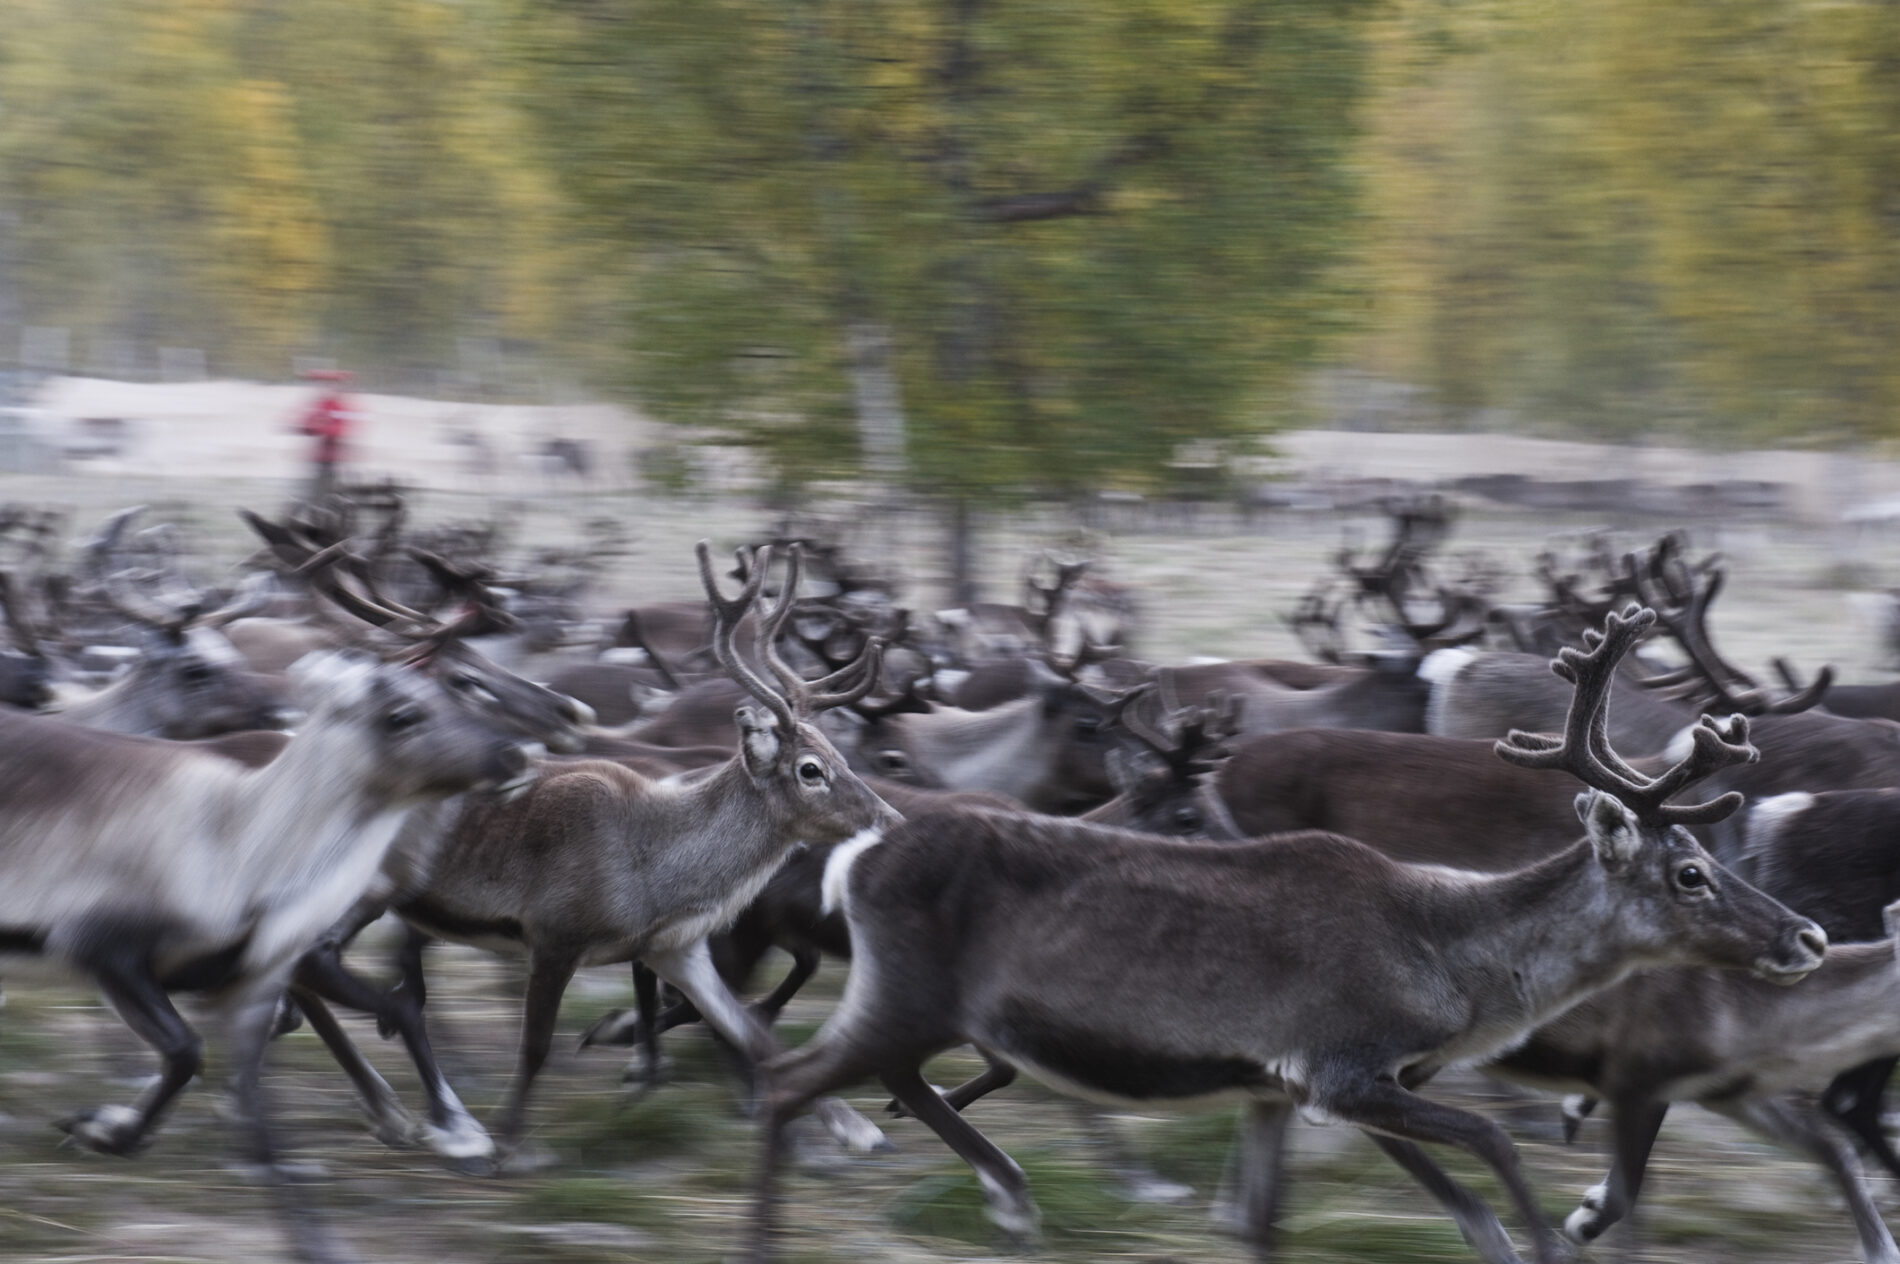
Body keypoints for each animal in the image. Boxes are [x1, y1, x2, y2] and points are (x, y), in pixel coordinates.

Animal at [0, 652, 530, 1264]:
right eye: (402, 714)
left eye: (456, 692)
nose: (518, 755)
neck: (242, 843)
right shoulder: (103, 950)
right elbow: (186, 1053)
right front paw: (104, 1130)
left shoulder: (252, 986)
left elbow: (260, 1112)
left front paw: (317, 1239)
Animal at [746, 605, 1826, 1264]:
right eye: (1689, 873)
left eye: (1711, 853)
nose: (1808, 936)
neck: (1453, 963)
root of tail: (856, 856)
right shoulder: (1341, 1068)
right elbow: (1489, 1146)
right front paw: (1555, 1235)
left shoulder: (1274, 1084)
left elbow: (1267, 1223)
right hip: (906, 994)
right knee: (787, 1079)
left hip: (911, 1005)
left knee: (846, 1073)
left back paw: (995, 1191)